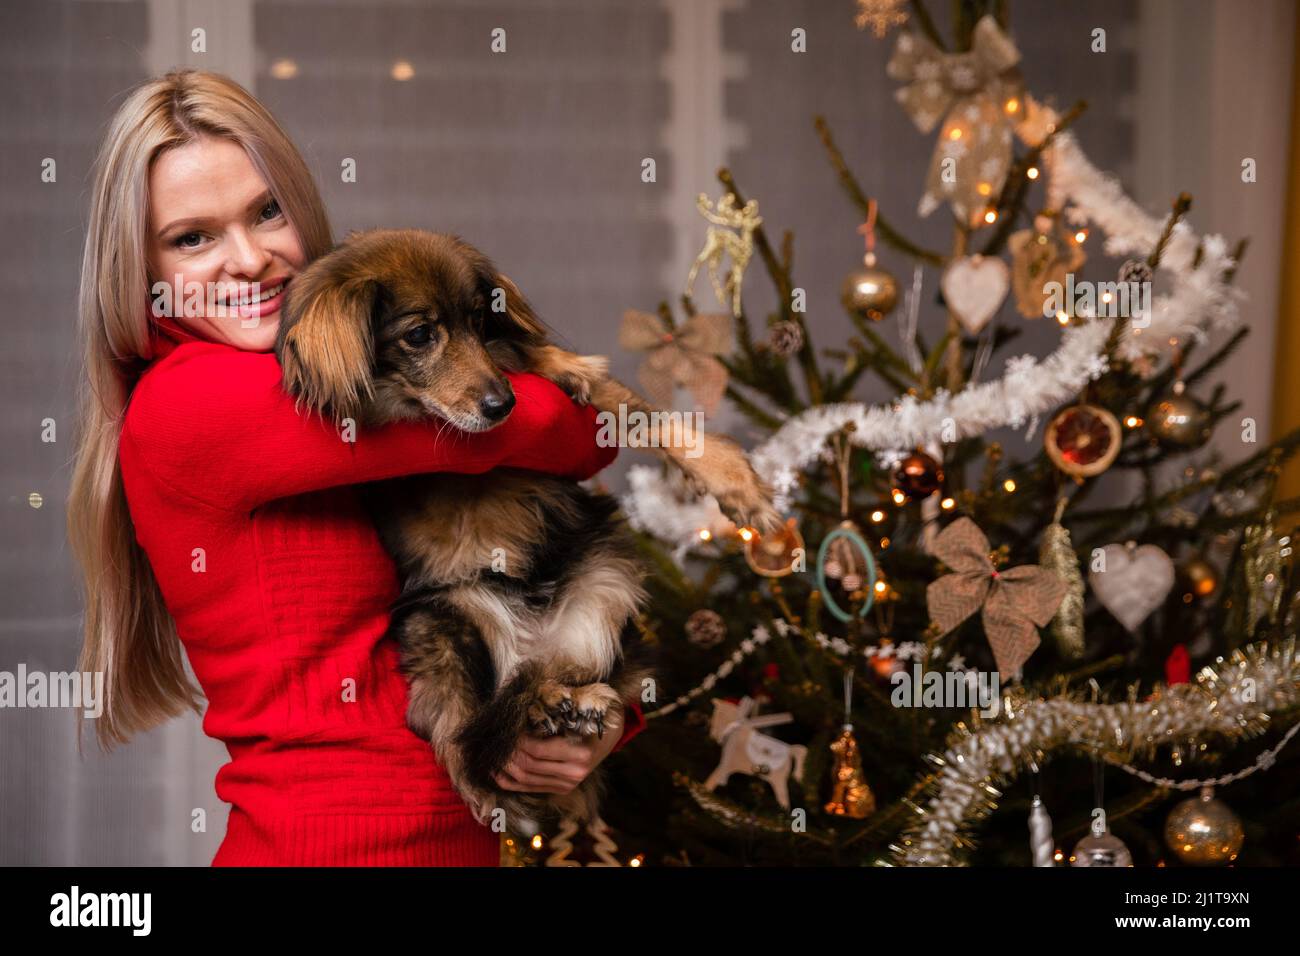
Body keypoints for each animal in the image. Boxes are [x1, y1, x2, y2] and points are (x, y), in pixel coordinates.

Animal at [273, 227, 774, 832]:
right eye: (419, 334)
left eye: (480, 321)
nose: (504, 406)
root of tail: (533, 643)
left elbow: (646, 415)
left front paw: (735, 483)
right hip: (437, 624)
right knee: (465, 736)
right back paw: (529, 728)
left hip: (606, 580)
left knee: (565, 676)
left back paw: (569, 702)